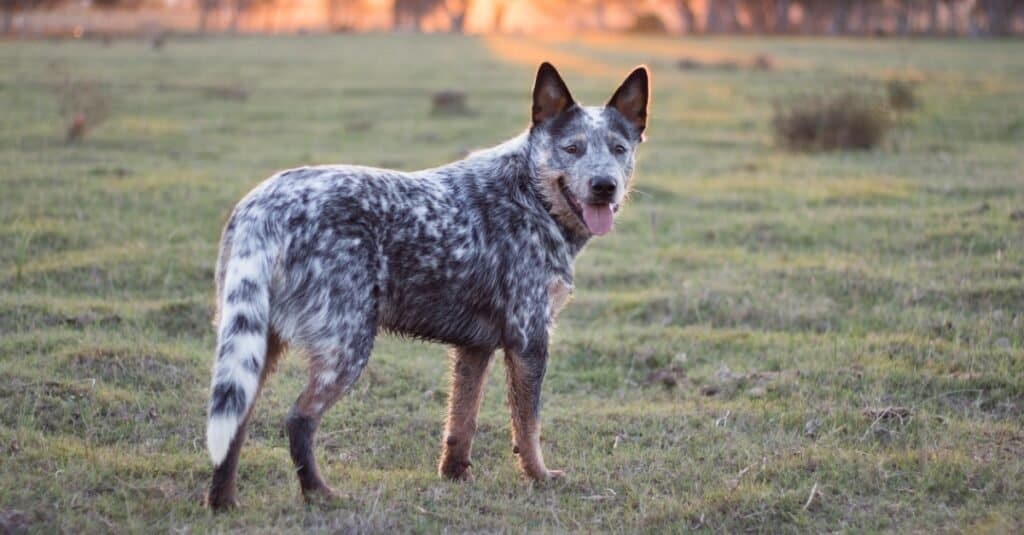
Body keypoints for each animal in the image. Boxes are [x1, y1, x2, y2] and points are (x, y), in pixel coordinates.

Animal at [204, 60, 651, 506]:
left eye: (618, 149)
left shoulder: (475, 348)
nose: (605, 186)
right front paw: (538, 476)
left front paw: (455, 475)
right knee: (299, 419)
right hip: (346, 345)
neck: (529, 193)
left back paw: (224, 504)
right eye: (572, 148)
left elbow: (462, 422)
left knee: (232, 426)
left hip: (251, 343)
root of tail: (263, 207)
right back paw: (320, 496)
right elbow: (528, 425)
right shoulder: (529, 339)